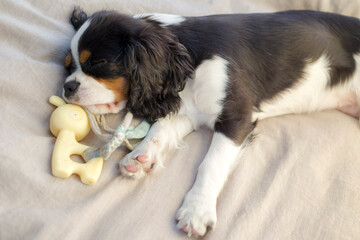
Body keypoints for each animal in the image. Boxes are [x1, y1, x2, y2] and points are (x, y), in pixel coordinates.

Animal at [62, 8, 360, 236]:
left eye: (98, 62)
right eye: (68, 65)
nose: (67, 87)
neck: (191, 55)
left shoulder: (236, 117)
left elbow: (211, 164)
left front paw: (197, 209)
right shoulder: (188, 109)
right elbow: (161, 128)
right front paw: (140, 156)